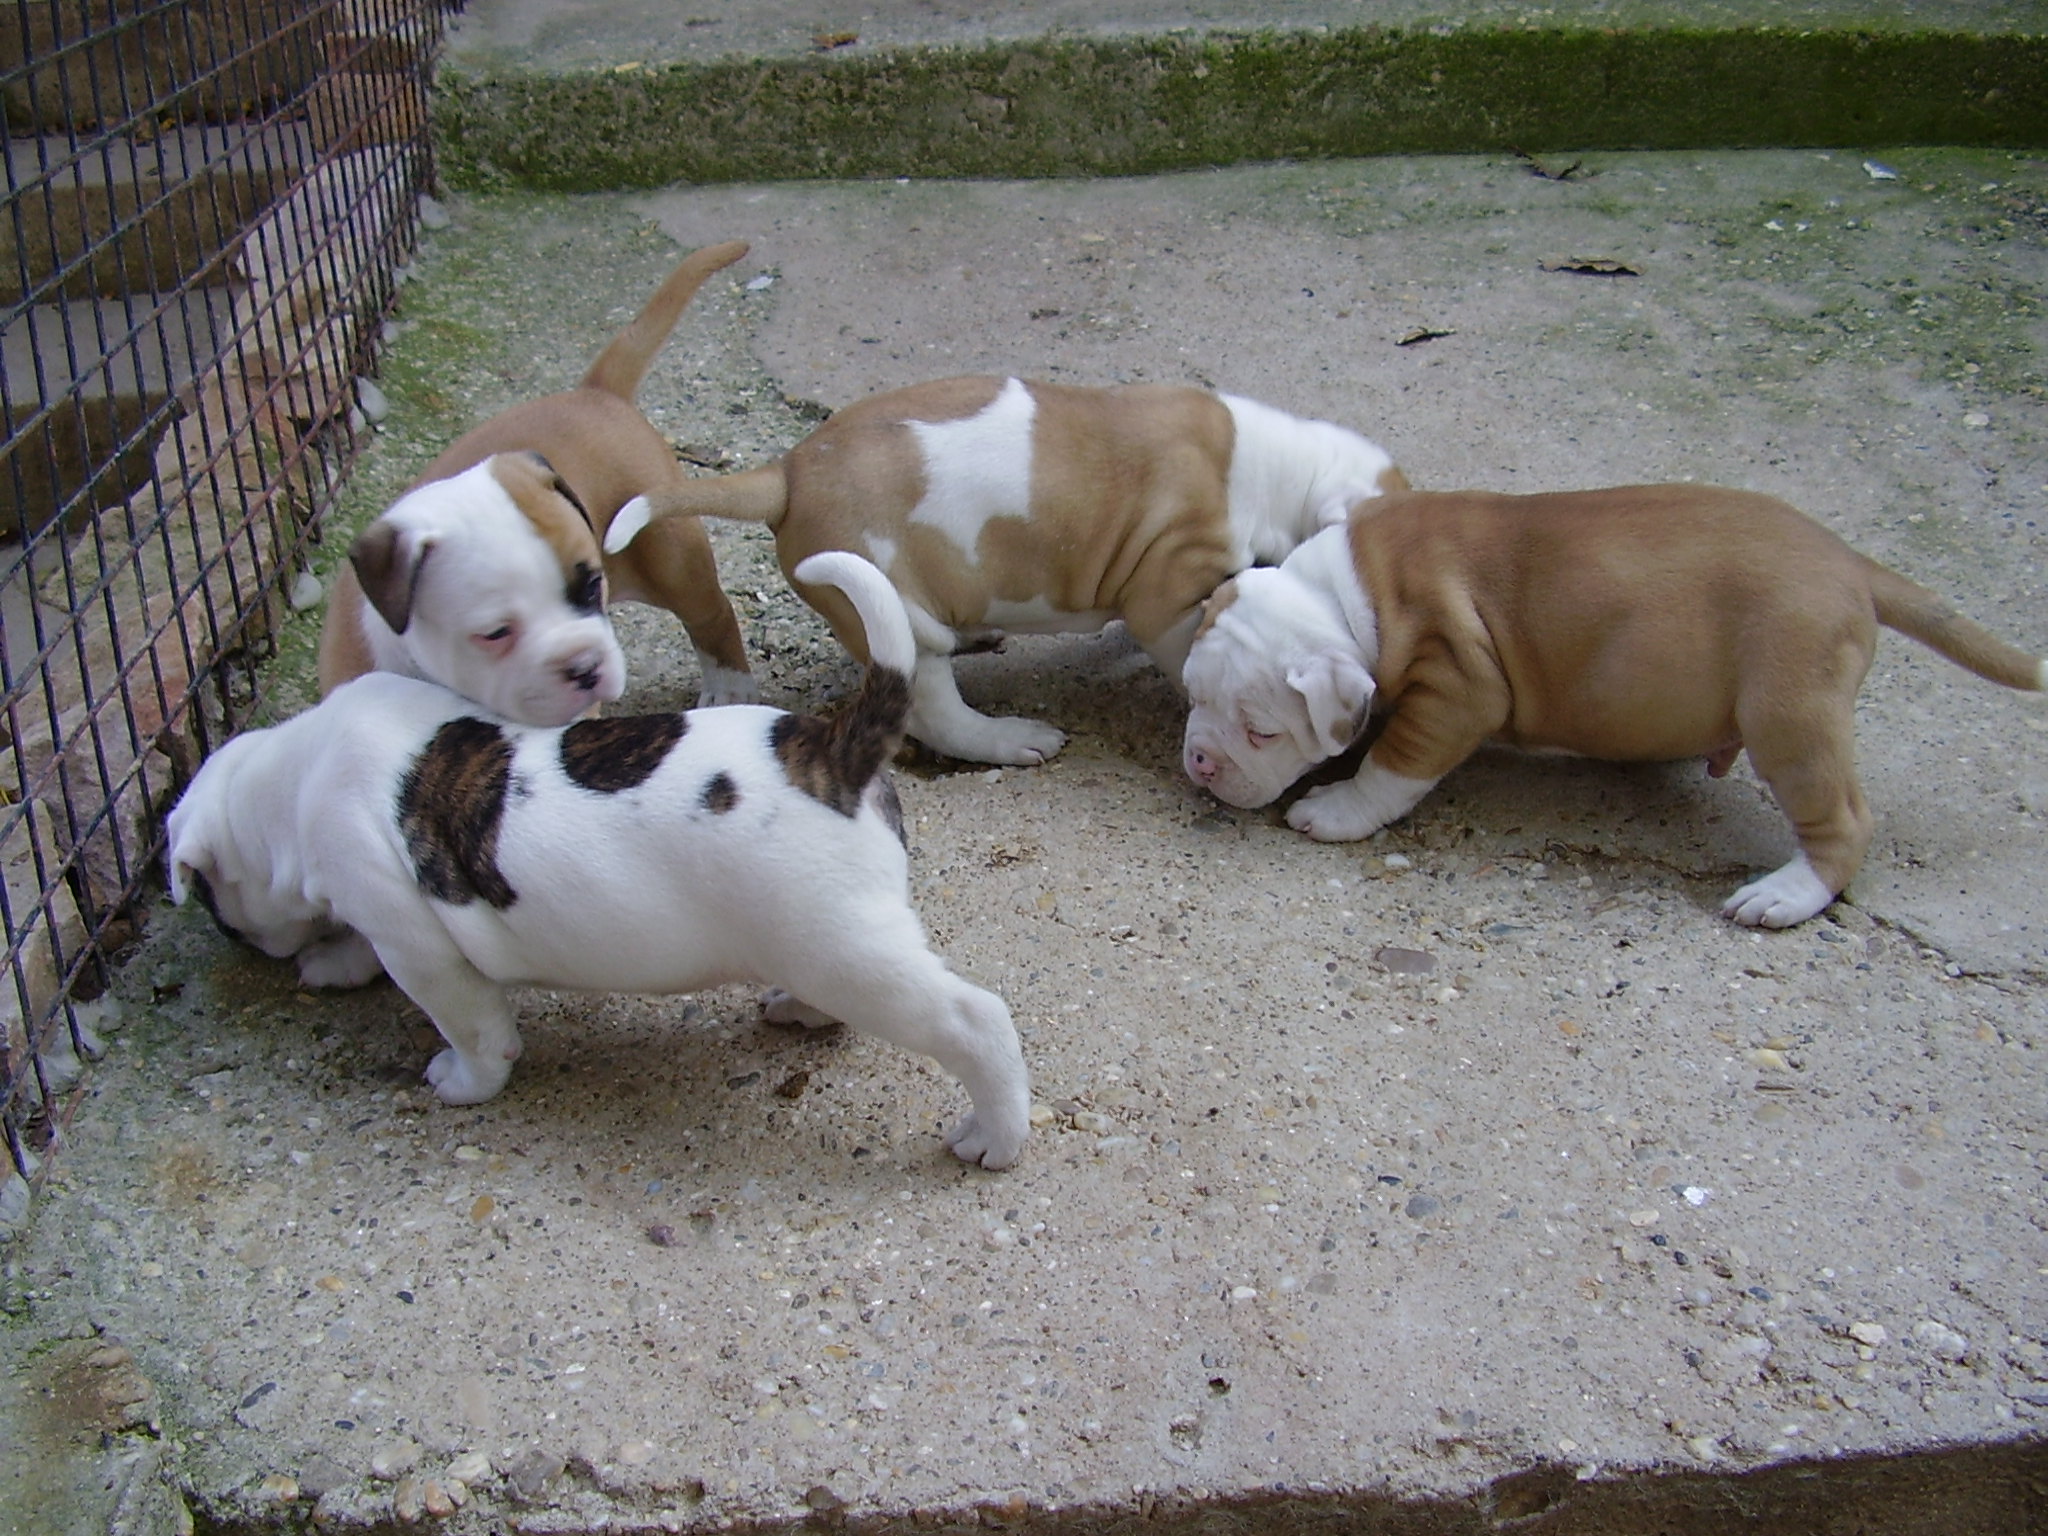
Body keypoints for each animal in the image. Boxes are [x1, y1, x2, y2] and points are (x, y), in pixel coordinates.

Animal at [171, 552, 1029, 1169]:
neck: (292, 777)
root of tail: (833, 748)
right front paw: (331, 961)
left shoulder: (421, 951)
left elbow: (474, 1029)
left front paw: (460, 1080)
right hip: (832, 941)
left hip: (847, 947)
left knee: (973, 1018)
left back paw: (994, 1135)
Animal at [316, 240, 759, 726]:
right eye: (495, 633)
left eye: (592, 586)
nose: (584, 666)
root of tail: (595, 393)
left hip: (671, 557)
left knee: (711, 614)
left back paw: (729, 688)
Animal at [602, 376, 1406, 764]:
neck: (1278, 468)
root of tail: (787, 473)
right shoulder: (1172, 589)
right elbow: (1186, 649)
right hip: (898, 609)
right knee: (937, 710)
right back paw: (1010, 740)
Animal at [1180, 484, 2045, 928]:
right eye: (1191, 697)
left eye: (1261, 733)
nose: (1199, 760)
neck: (1340, 595)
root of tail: (1850, 562)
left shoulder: (1455, 687)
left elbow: (1393, 767)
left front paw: (1337, 809)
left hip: (1791, 712)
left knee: (1841, 821)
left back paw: (1786, 894)